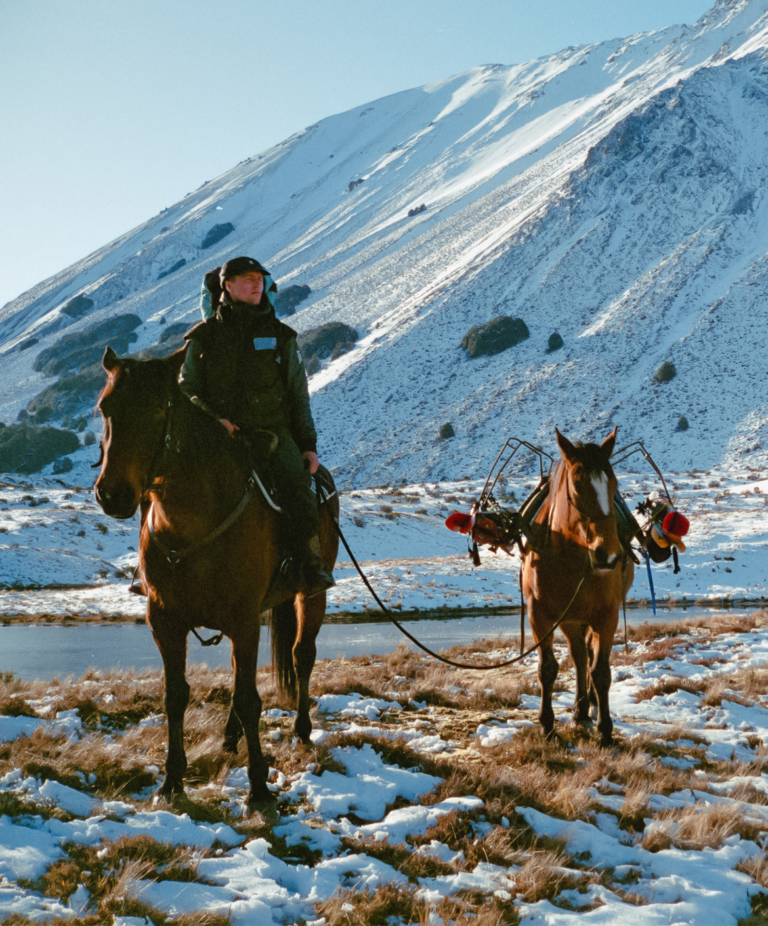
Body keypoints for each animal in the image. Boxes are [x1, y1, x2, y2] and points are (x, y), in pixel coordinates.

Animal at [94, 346, 340, 804]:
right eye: (105, 407)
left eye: (158, 409)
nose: (112, 494)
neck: (190, 522)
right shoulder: (165, 621)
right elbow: (176, 697)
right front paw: (172, 780)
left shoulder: (243, 619)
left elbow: (249, 699)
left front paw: (258, 785)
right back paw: (229, 738)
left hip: (311, 594)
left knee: (302, 655)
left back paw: (302, 731)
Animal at [520, 428, 632, 748]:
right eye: (578, 484)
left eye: (614, 484)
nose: (608, 554)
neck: (572, 556)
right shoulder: (540, 615)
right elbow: (548, 669)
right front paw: (547, 726)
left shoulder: (607, 616)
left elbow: (602, 671)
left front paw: (605, 731)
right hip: (570, 620)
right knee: (580, 657)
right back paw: (581, 709)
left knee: (589, 658)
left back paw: (590, 707)